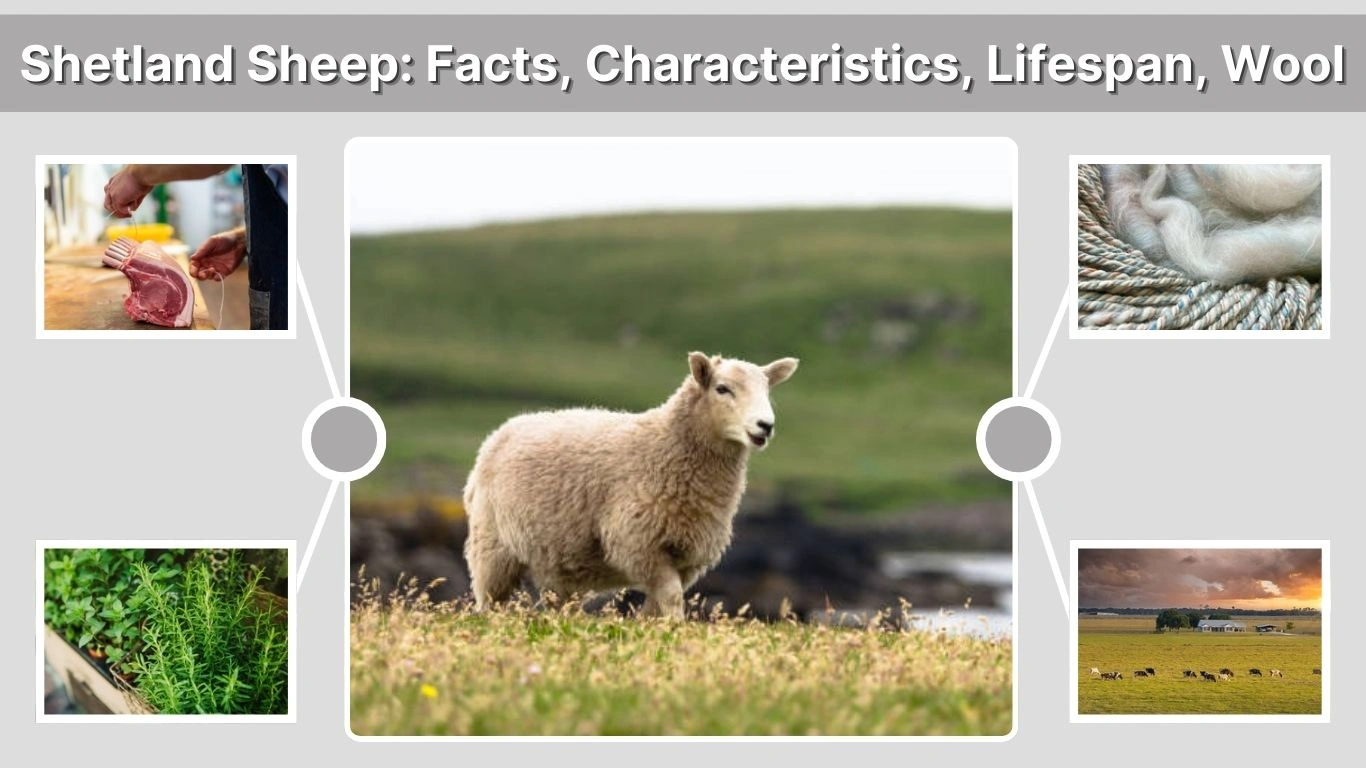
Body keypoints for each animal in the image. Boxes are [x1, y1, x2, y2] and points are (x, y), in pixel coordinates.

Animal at [462, 351, 799, 619]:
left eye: (767, 390)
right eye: (722, 389)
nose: (765, 426)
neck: (665, 446)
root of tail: (502, 431)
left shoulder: (685, 554)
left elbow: (659, 601)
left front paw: (654, 627)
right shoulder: (639, 542)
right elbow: (672, 596)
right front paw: (675, 628)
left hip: (556, 560)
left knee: (559, 604)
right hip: (492, 546)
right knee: (489, 600)